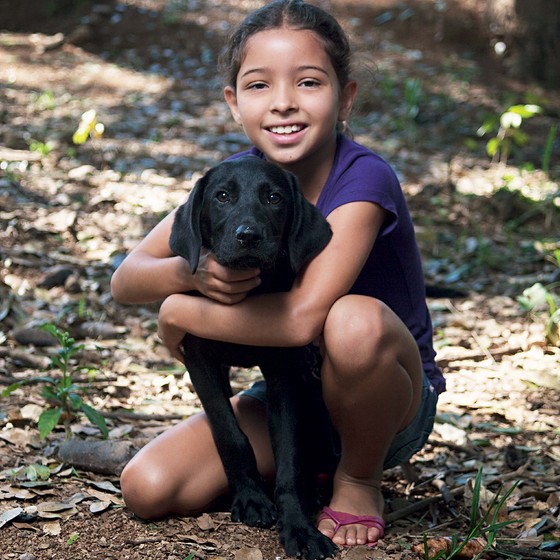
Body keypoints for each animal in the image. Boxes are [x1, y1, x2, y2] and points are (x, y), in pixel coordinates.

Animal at [170, 154, 336, 560]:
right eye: (222, 196)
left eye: (274, 198)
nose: (248, 236)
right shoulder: (200, 361)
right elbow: (230, 434)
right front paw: (250, 498)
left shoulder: (284, 375)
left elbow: (290, 459)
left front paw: (299, 527)